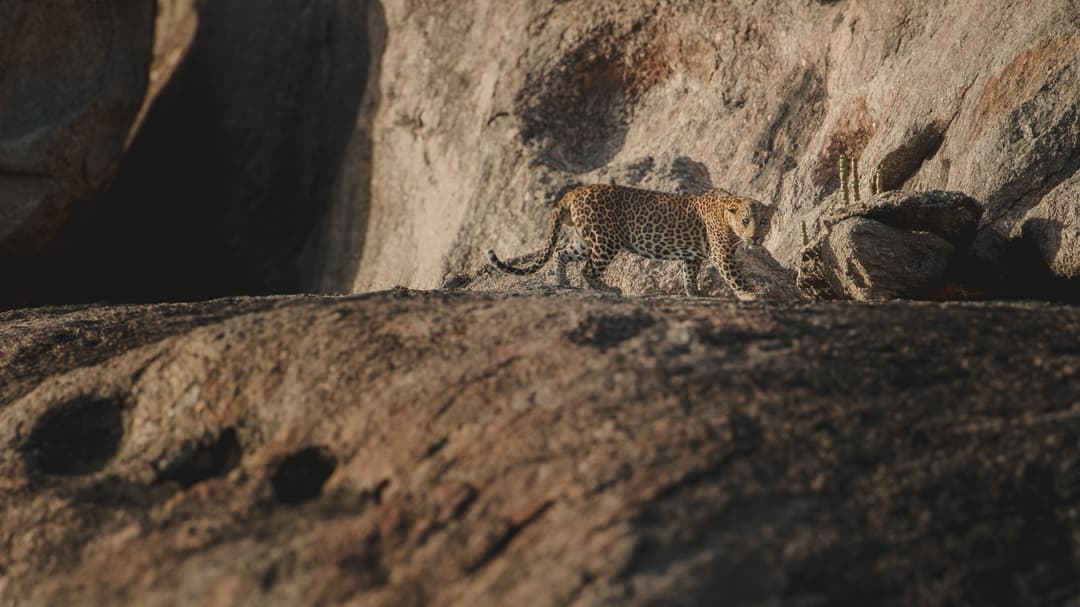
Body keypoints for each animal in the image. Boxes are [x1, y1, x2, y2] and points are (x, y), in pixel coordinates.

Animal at [486, 184, 774, 300]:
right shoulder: (722, 253)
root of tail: (574, 191)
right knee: (587, 269)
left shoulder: (692, 256)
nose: (755, 237)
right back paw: (607, 289)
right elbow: (735, 275)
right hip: (605, 239)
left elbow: (688, 274)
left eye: (764, 221)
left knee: (561, 253)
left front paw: (695, 293)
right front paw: (751, 293)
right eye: (746, 221)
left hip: (585, 239)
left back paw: (562, 282)